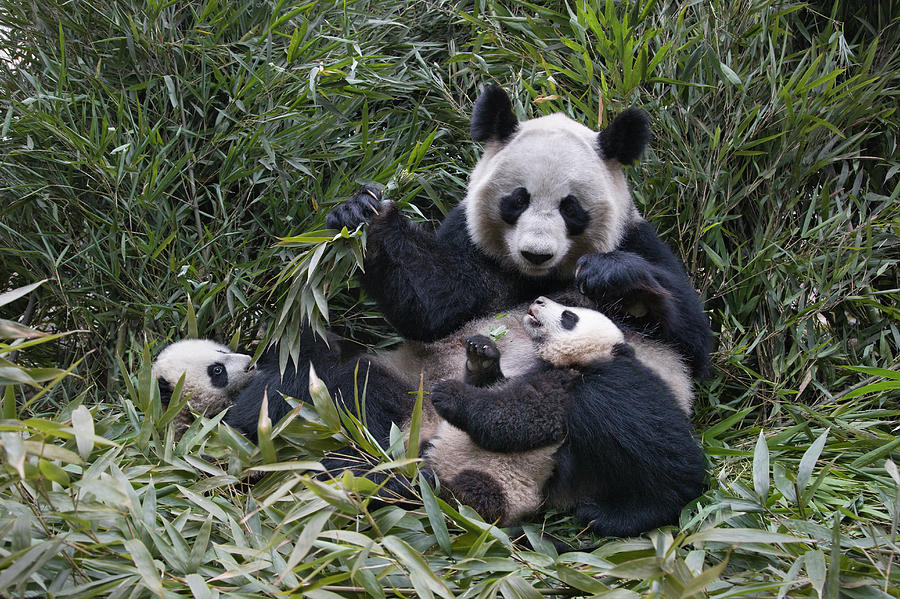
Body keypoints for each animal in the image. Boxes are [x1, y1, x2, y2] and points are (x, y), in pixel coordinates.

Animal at [422, 298, 704, 536]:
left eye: (569, 316)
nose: (538, 300)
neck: (583, 361)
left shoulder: (568, 392)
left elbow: (516, 419)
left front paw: (448, 393)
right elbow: (492, 384)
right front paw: (481, 354)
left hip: (504, 483)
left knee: (480, 494)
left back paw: (445, 492)